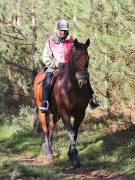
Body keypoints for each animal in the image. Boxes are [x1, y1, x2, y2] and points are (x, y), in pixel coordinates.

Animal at [33, 38, 92, 169]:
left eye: (88, 58)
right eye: (76, 59)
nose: (83, 82)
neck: (73, 87)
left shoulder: (80, 113)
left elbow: (75, 132)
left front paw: (71, 154)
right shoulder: (65, 113)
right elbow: (71, 132)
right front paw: (74, 157)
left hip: (55, 114)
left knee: (51, 127)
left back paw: (48, 146)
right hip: (42, 111)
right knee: (46, 129)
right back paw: (49, 152)